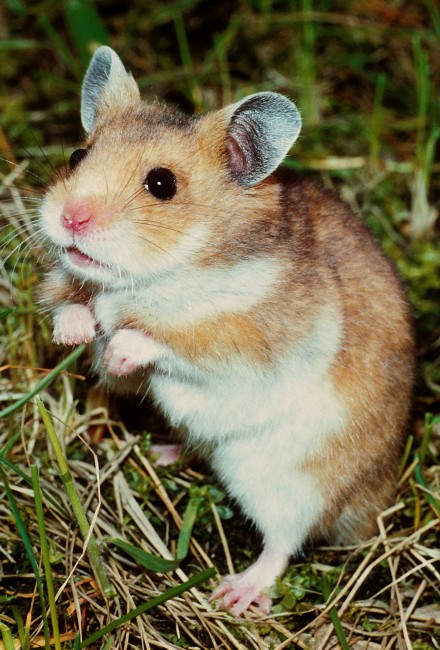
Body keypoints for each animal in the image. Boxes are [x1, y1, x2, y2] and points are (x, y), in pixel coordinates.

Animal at [37, 45, 412, 612]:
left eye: (162, 184)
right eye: (79, 156)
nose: (70, 218)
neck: (162, 270)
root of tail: (375, 503)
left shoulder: (252, 343)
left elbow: (175, 341)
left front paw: (122, 346)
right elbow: (74, 307)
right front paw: (74, 333)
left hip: (289, 484)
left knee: (283, 544)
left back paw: (233, 594)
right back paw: (160, 451)